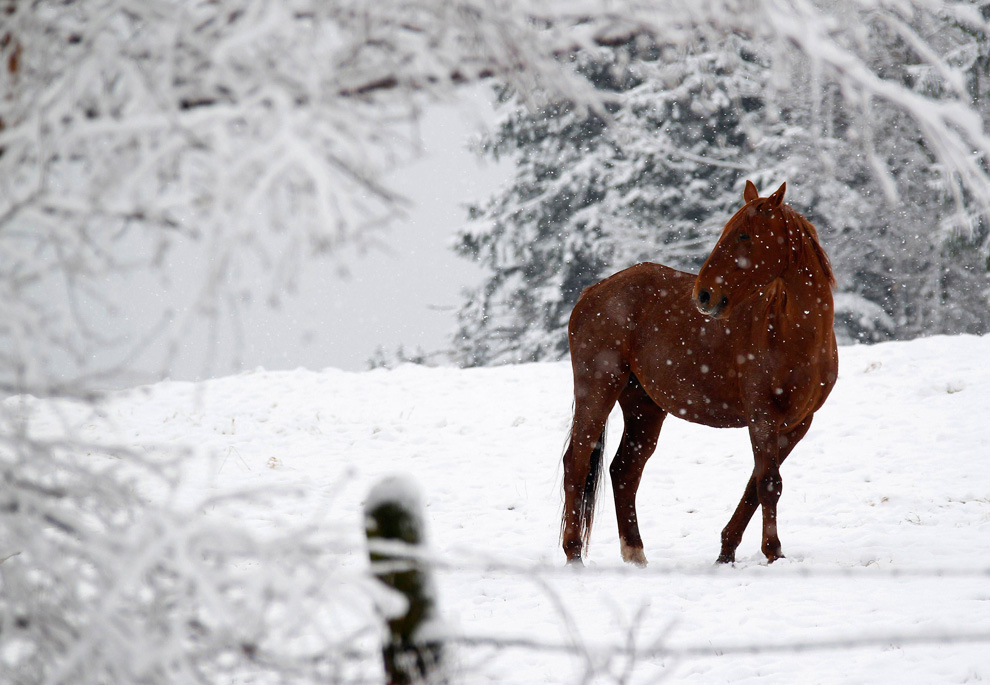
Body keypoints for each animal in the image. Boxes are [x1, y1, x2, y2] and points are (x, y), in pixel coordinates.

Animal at [560, 179, 836, 564]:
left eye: (744, 235)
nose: (704, 295)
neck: (792, 331)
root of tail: (591, 292)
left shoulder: (797, 423)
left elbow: (756, 485)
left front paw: (727, 550)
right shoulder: (762, 416)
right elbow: (768, 483)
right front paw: (773, 552)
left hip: (644, 406)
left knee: (624, 470)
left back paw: (636, 553)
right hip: (598, 390)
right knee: (577, 462)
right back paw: (574, 554)